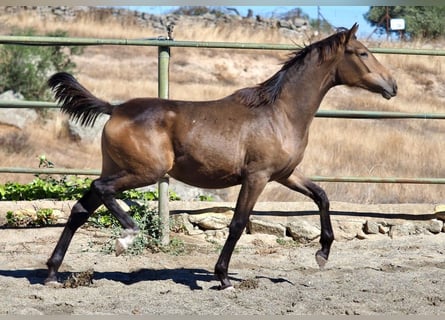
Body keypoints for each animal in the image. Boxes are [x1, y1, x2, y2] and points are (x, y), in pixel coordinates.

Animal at [45, 24, 396, 290]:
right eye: (363, 53)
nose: (392, 85)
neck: (280, 113)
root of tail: (115, 108)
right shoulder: (257, 177)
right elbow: (238, 223)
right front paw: (223, 277)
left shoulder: (285, 174)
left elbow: (322, 196)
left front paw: (322, 253)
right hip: (145, 171)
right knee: (100, 191)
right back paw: (126, 237)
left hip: (119, 168)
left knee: (80, 208)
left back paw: (52, 272)